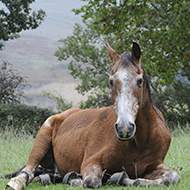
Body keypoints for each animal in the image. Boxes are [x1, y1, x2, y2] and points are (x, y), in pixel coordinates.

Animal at [4, 42, 180, 189]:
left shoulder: (154, 165)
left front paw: (120, 178)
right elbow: (92, 181)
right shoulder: (91, 162)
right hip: (42, 139)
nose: (124, 128)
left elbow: (172, 177)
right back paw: (18, 182)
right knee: (29, 171)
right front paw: (78, 179)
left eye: (139, 81)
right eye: (111, 81)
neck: (141, 142)